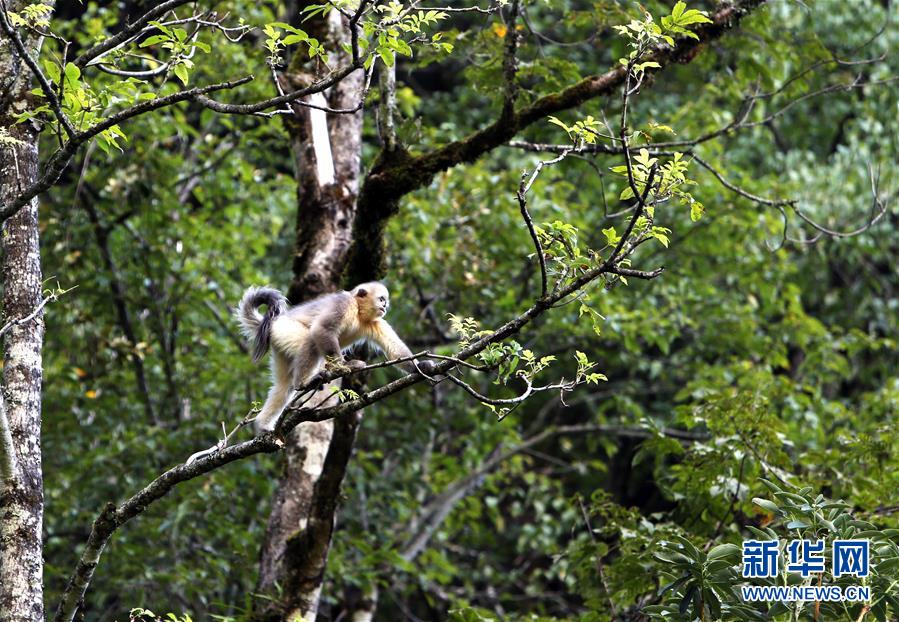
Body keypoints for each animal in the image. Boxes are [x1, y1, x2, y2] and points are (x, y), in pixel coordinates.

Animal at [237, 282, 438, 434]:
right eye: (382, 299)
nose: (385, 307)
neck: (358, 313)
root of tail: (274, 322)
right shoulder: (344, 304)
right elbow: (322, 329)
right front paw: (344, 366)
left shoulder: (376, 322)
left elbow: (395, 351)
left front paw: (422, 366)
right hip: (285, 330)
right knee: (311, 340)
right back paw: (303, 382)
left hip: (280, 348)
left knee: (283, 388)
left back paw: (263, 425)